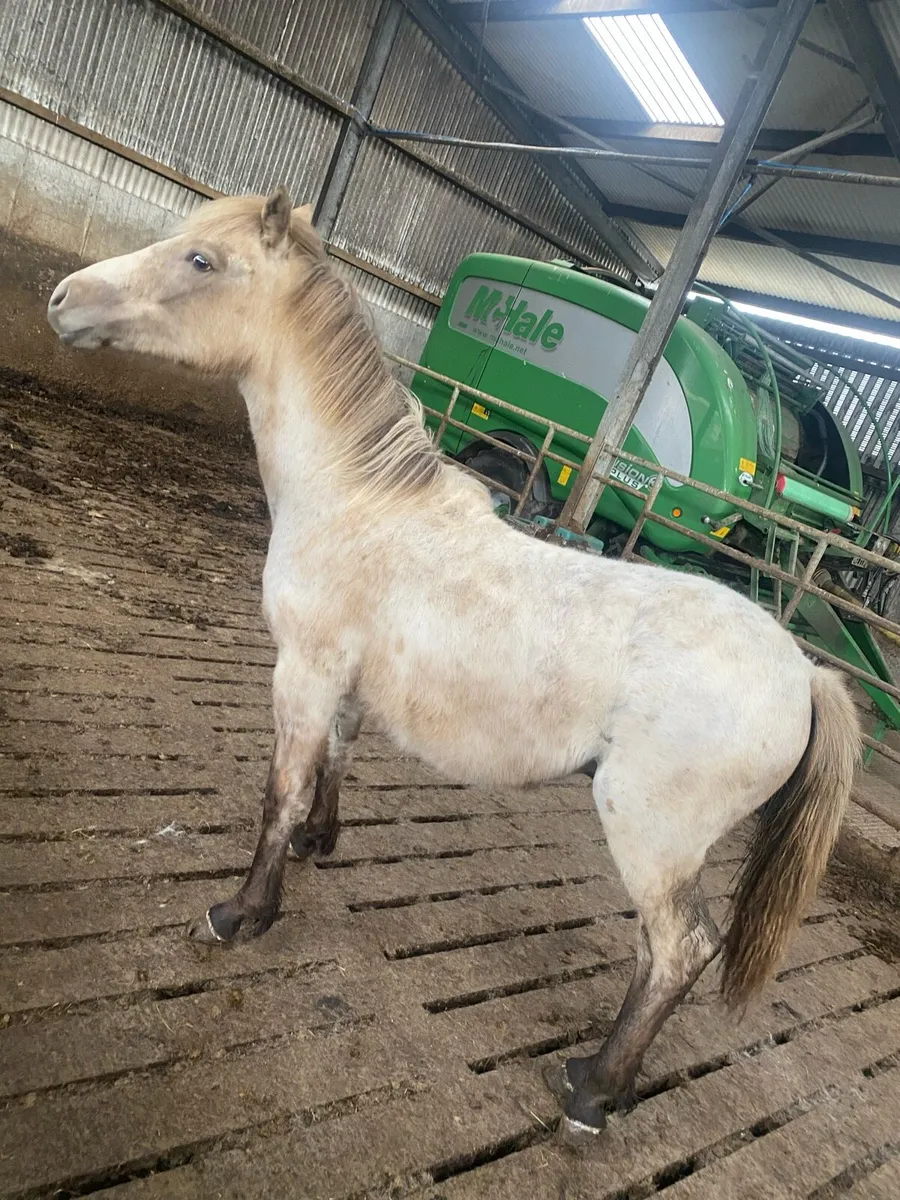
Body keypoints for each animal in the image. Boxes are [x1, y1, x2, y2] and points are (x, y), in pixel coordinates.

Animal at [47, 189, 860, 1140]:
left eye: (202, 261)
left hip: (652, 836)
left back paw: (591, 1092)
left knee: (676, 951)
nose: (63, 298)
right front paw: (321, 842)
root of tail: (803, 675)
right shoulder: (343, 684)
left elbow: (279, 792)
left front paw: (240, 914)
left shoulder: (302, 672)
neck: (358, 502)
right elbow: (337, 759)